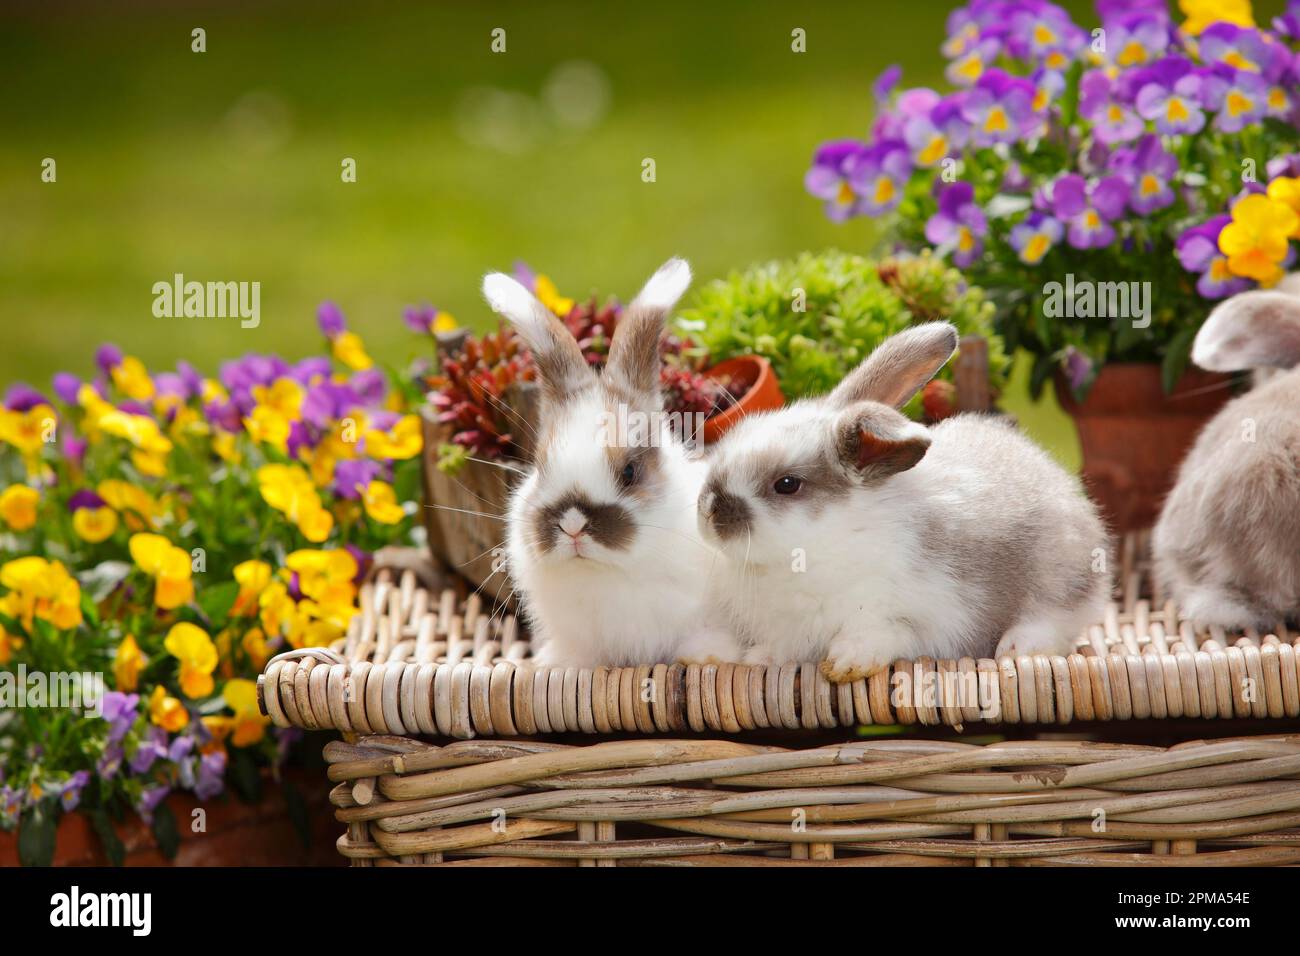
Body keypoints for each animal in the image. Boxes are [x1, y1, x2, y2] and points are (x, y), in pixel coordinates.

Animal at [482, 258, 739, 668]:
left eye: (630, 471)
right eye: (540, 466)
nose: (573, 526)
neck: (609, 571)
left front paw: (709, 657)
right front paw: (557, 664)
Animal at [696, 322, 1110, 681]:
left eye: (786, 484)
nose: (709, 512)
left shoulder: (921, 615)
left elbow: (886, 632)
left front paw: (847, 662)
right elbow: (782, 648)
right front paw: (757, 660)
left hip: (1061, 573)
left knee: (1056, 617)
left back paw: (1018, 648)